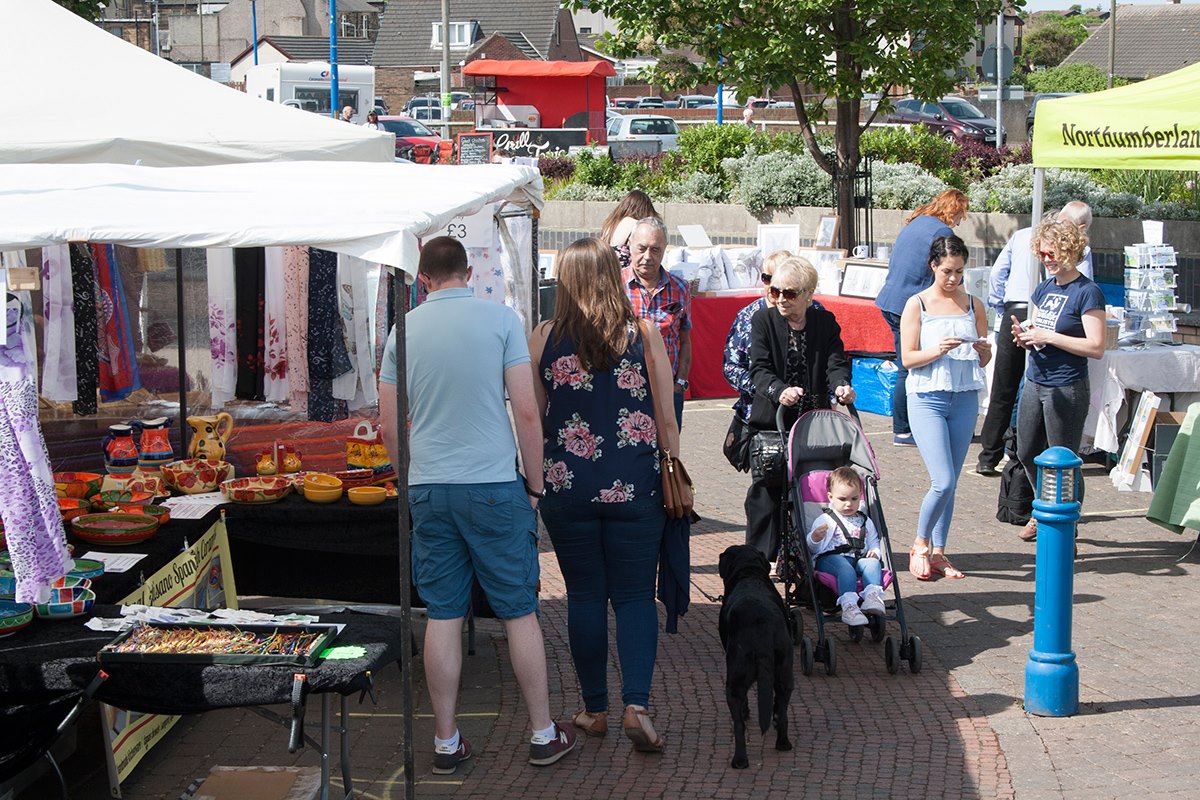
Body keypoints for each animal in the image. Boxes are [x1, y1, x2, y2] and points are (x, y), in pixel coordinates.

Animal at [715, 544, 792, 767]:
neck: (749, 573)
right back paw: (783, 743)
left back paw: (739, 760)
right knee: (782, 711)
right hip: (785, 672)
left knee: (739, 724)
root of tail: (762, 625)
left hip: (735, 679)